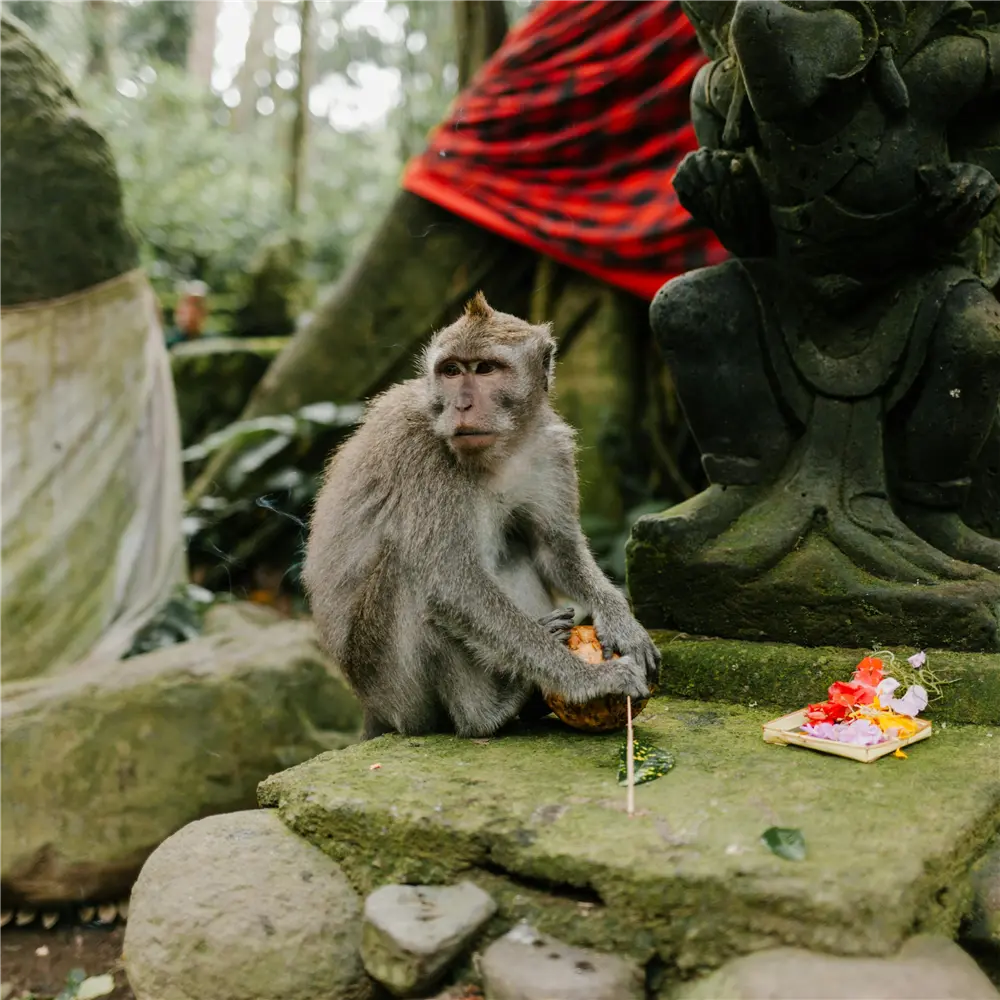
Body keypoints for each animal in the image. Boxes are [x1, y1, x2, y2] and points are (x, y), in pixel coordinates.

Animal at [303, 292, 661, 740]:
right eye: (451, 370)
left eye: (486, 368)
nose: (462, 404)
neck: (503, 449)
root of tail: (370, 706)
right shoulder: (425, 457)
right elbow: (450, 585)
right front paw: (589, 680)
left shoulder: (551, 448)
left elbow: (553, 548)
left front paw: (621, 620)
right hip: (391, 686)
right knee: (410, 569)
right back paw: (488, 711)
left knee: (514, 549)